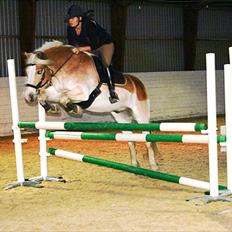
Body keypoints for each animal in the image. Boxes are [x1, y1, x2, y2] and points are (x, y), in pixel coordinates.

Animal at [23, 40, 160, 169]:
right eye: (27, 72)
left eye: (39, 71)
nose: (28, 97)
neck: (66, 68)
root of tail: (138, 83)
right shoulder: (56, 91)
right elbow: (43, 94)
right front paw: (52, 108)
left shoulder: (83, 93)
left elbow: (63, 97)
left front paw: (73, 108)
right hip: (121, 117)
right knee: (131, 140)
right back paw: (134, 165)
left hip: (140, 114)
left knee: (147, 139)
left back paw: (153, 166)